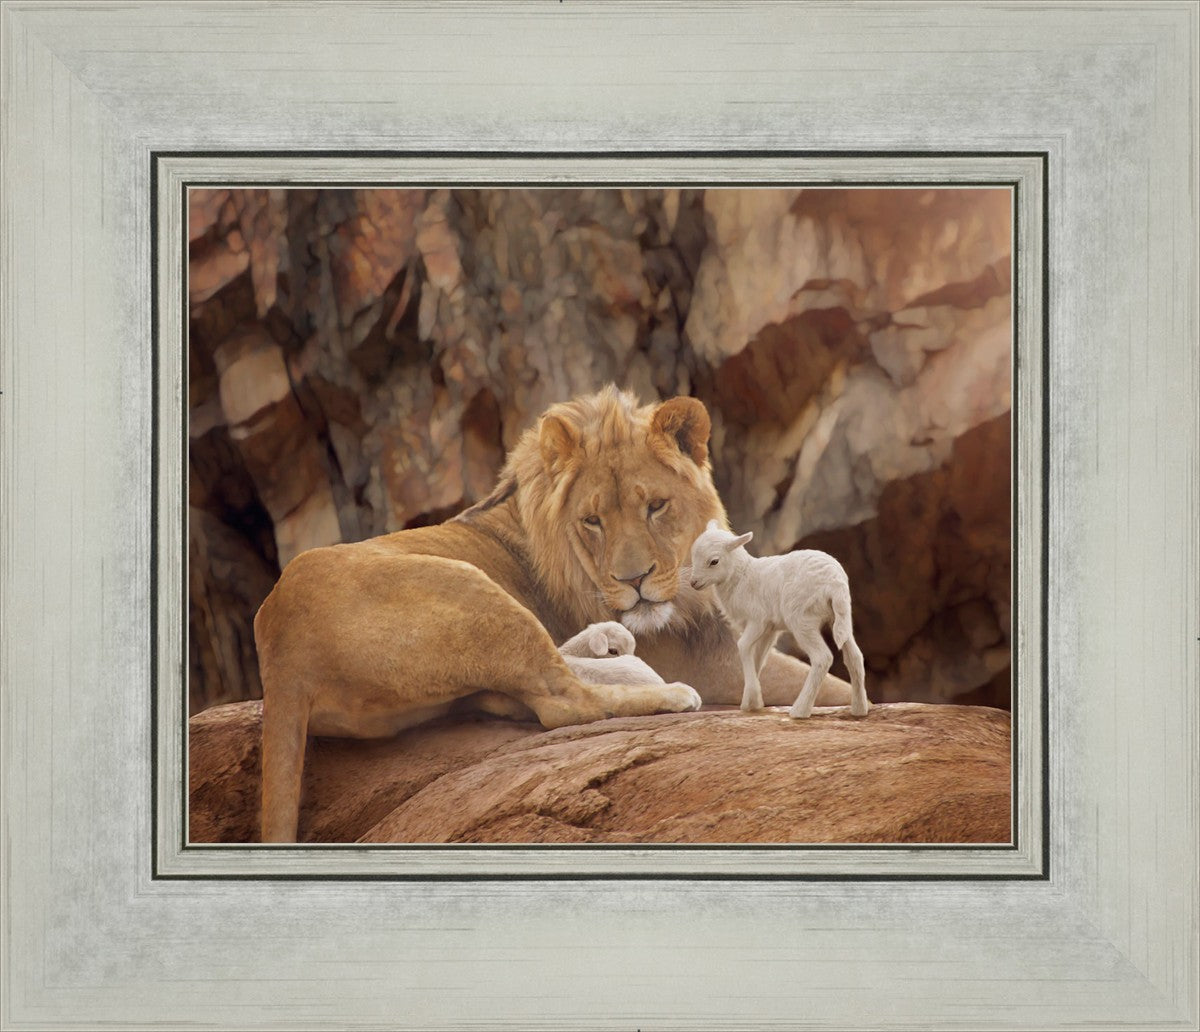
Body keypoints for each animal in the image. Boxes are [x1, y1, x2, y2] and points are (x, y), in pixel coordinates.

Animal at [688, 520, 869, 719]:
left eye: (714, 561)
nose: (693, 583)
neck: (742, 577)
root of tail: (835, 583)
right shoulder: (770, 629)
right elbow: (758, 658)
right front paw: (751, 702)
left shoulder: (758, 620)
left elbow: (743, 646)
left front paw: (752, 698)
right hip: (841, 617)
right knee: (855, 656)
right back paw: (859, 709)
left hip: (801, 618)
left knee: (822, 658)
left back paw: (800, 710)